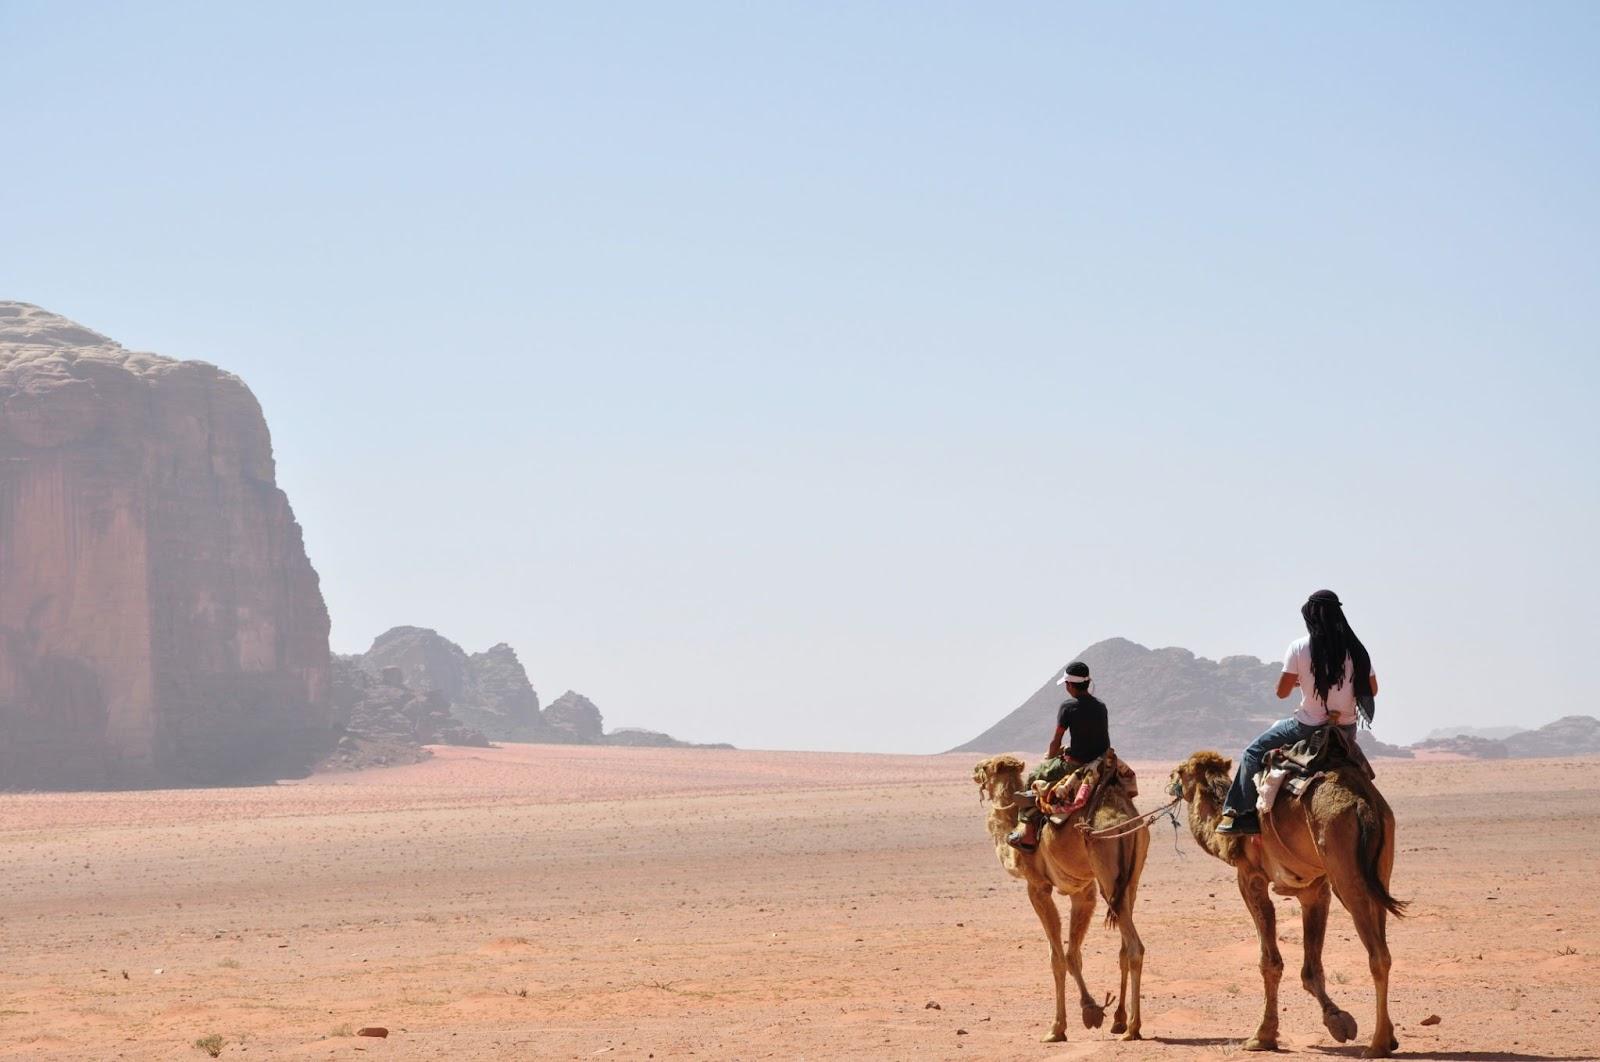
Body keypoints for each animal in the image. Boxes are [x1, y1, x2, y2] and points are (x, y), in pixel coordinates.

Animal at [966, 754, 1145, 1042]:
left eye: (984, 767)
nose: (973, 771)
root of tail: (1126, 819)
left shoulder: (1037, 886)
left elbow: (1058, 958)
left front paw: (1058, 1027)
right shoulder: (1083, 891)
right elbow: (1073, 954)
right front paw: (1092, 1010)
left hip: (1107, 872)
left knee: (1134, 947)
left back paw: (1132, 1028)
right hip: (1130, 880)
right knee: (1124, 948)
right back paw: (1120, 1020)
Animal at [1171, 751, 1408, 1055]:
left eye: (1180, 771)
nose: (1170, 783)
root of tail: (1363, 803)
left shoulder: (1250, 877)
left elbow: (1269, 963)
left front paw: (1262, 1036)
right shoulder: (1313, 889)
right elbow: (1311, 968)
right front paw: (1338, 1021)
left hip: (1345, 871)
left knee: (1377, 955)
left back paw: (1376, 1046)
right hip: (1380, 867)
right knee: (1384, 946)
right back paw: (1388, 1037)